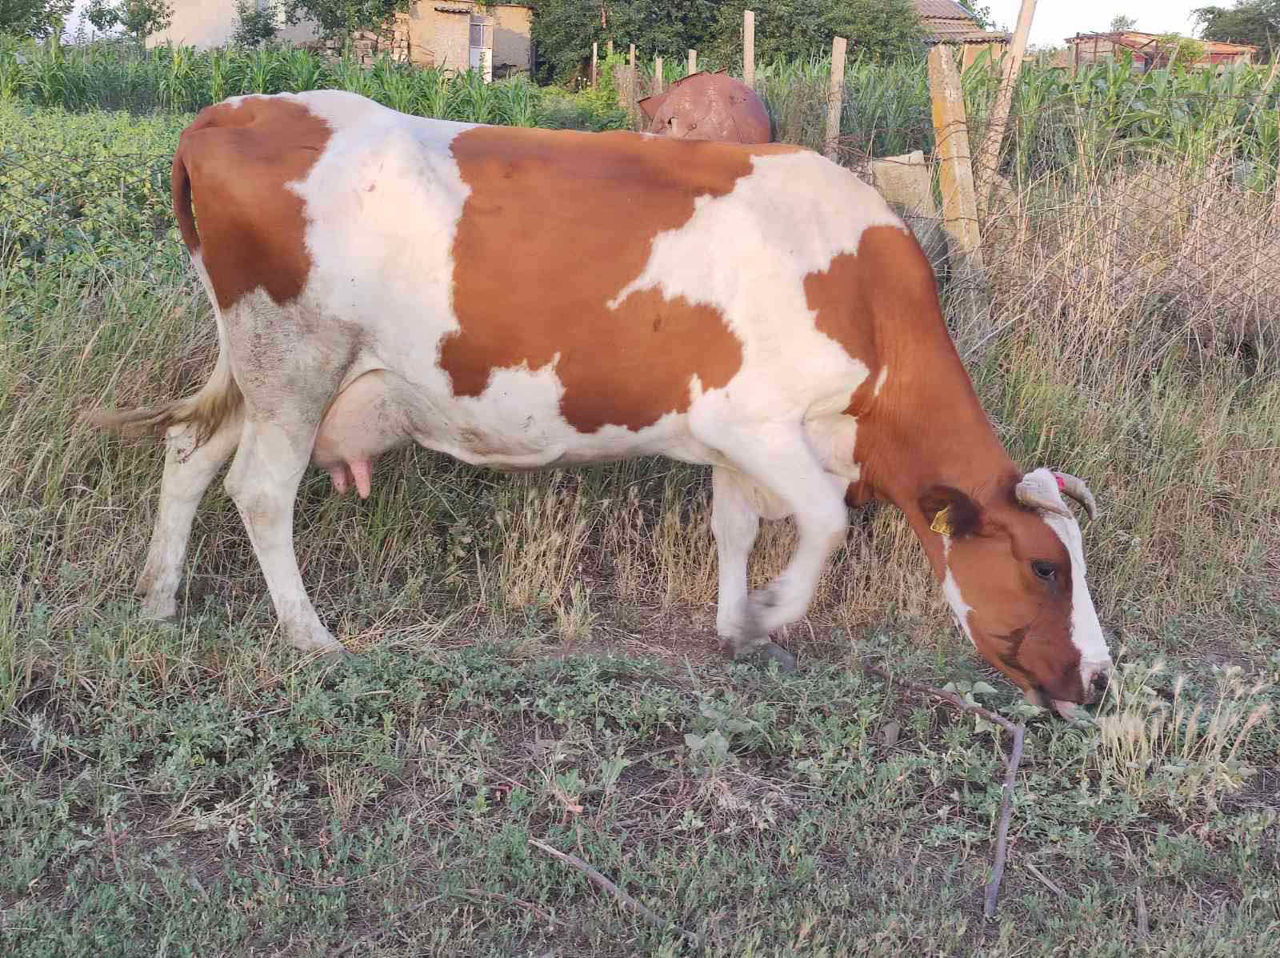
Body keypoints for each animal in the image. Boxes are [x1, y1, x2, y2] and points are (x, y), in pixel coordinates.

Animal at [92, 93, 1111, 717]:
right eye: (1044, 566)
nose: (1102, 681)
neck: (867, 297)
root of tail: (230, 112)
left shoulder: (733, 437)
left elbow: (736, 529)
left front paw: (737, 627)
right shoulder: (758, 423)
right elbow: (823, 522)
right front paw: (775, 610)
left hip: (257, 367)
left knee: (189, 454)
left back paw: (158, 603)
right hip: (296, 361)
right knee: (261, 492)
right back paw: (311, 638)